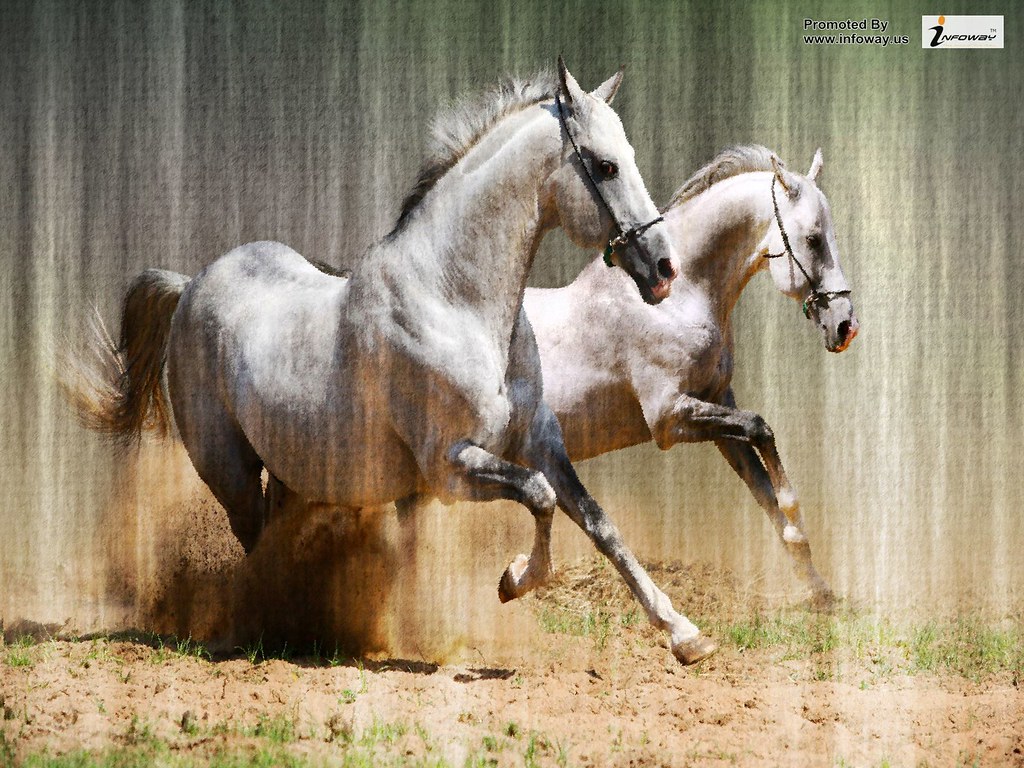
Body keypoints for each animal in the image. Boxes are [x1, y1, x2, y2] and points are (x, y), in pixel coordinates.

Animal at [68, 59, 722, 665]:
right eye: (605, 165)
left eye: (629, 156)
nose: (664, 269)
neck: (454, 301)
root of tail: (191, 286)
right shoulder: (450, 467)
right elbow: (538, 497)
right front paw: (513, 581)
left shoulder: (540, 441)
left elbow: (597, 521)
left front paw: (686, 636)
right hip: (229, 470)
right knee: (253, 545)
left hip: (293, 470)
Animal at [523, 146, 858, 637]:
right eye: (814, 239)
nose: (846, 325)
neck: (679, 299)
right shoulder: (670, 419)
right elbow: (762, 430)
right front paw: (798, 522)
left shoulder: (717, 408)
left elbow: (762, 487)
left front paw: (820, 591)